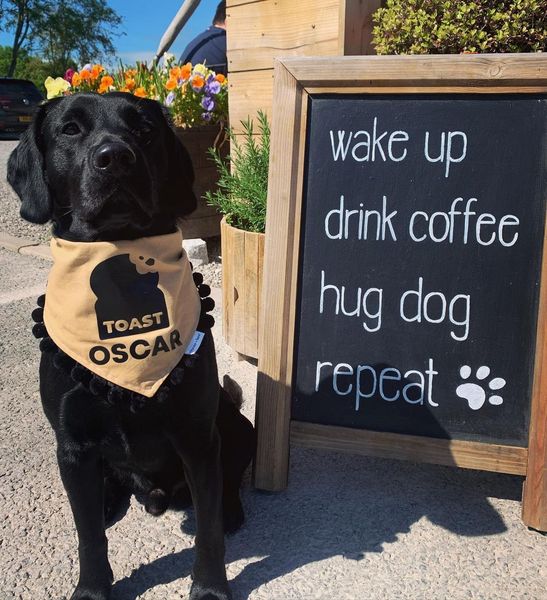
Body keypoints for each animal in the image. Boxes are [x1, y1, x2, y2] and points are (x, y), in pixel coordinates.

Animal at [6, 91, 255, 596]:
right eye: (70, 129)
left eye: (144, 129)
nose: (115, 158)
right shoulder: (73, 444)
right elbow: (87, 535)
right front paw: (92, 588)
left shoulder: (198, 437)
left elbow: (208, 531)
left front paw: (210, 587)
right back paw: (107, 501)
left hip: (235, 426)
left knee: (230, 480)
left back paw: (231, 509)